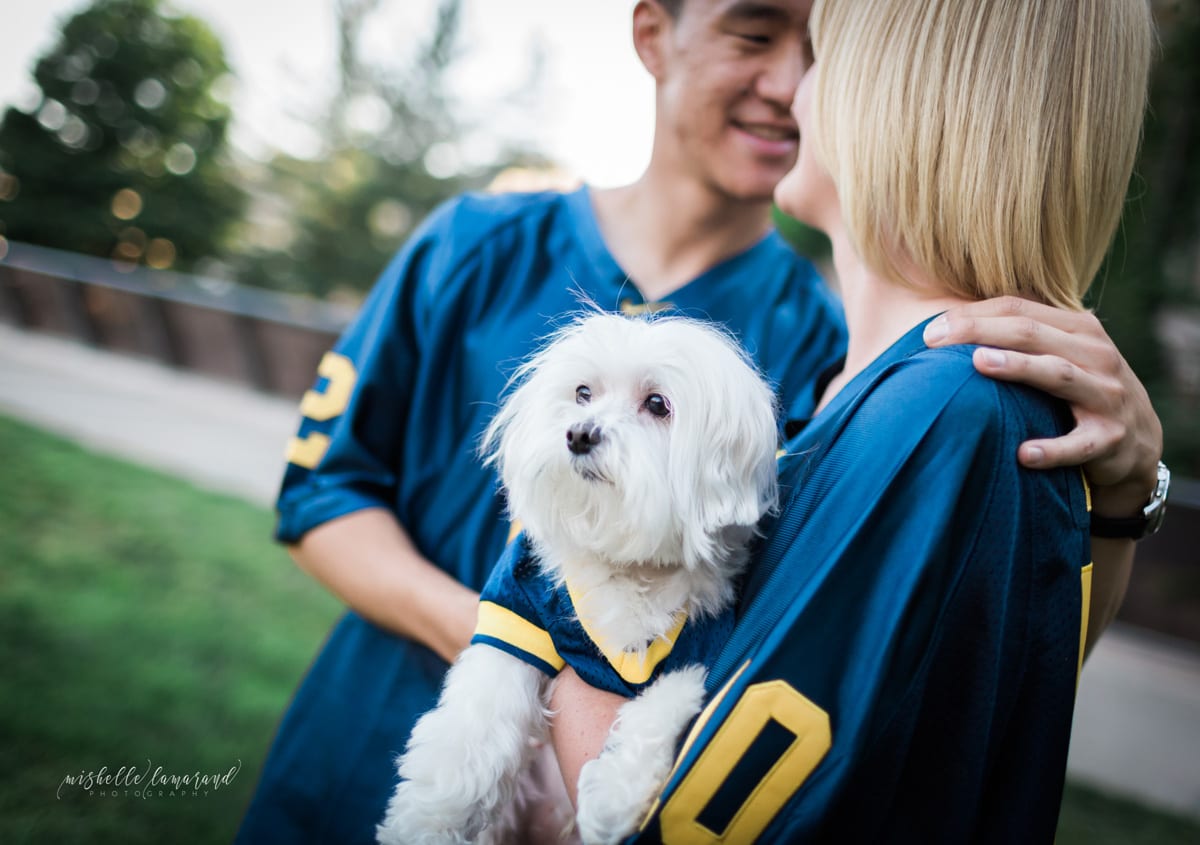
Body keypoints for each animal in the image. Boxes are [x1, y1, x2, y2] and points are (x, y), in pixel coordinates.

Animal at [379, 312, 782, 845]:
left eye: (658, 404)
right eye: (583, 393)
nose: (579, 434)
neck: (625, 560)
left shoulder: (701, 642)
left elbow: (665, 702)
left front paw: (614, 795)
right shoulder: (518, 611)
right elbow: (470, 732)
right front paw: (430, 823)